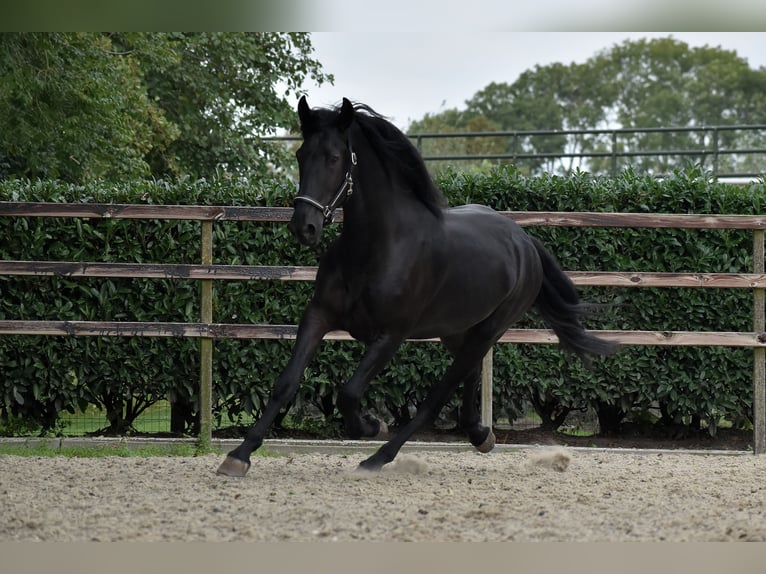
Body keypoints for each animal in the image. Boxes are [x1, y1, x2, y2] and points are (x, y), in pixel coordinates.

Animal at [216, 98, 616, 476]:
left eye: (333, 157)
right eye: (301, 155)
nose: (304, 227)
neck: (374, 248)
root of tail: (525, 242)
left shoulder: (391, 335)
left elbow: (348, 393)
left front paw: (370, 425)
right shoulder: (319, 316)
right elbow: (285, 384)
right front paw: (239, 456)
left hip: (488, 330)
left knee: (436, 398)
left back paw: (379, 458)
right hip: (458, 330)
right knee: (467, 376)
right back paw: (479, 435)